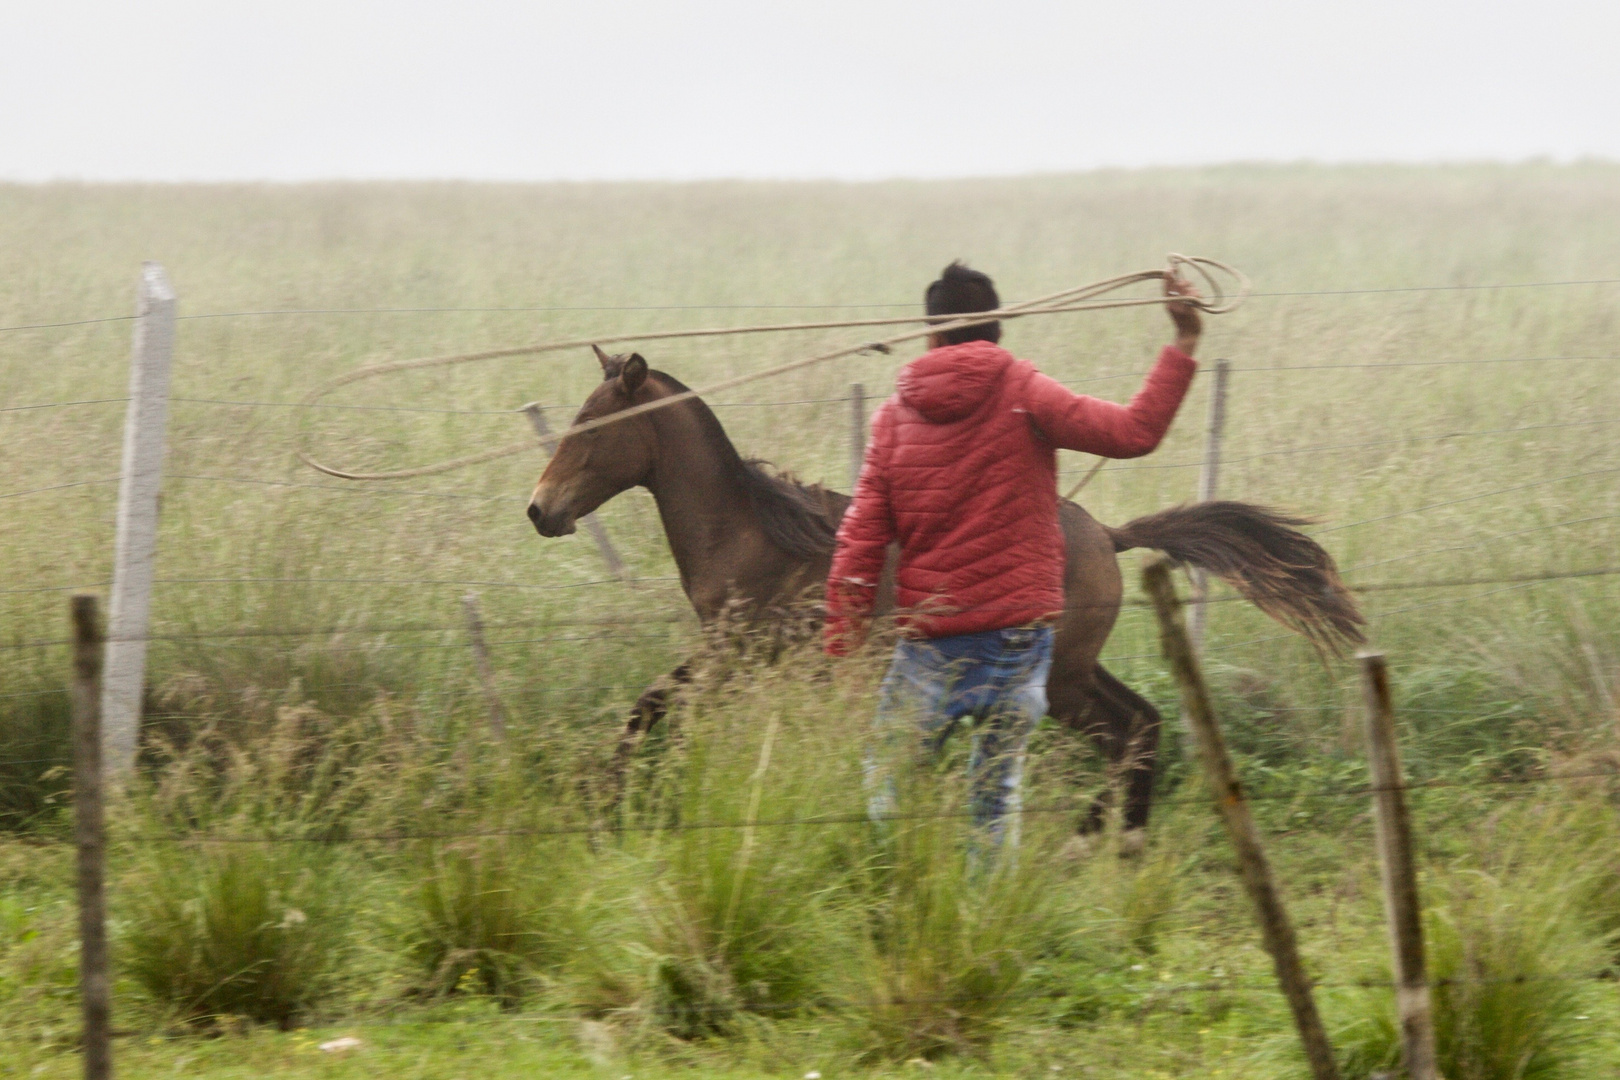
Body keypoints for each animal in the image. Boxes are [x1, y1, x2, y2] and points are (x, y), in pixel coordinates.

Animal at [524, 351, 1360, 835]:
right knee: (1142, 723)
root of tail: (1106, 534)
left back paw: (1100, 834)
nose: (540, 510)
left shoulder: (746, 655)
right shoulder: (733, 656)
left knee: (1128, 731)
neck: (752, 531)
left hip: (1059, 677)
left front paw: (617, 800)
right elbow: (649, 708)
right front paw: (607, 795)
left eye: (592, 429)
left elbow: (660, 712)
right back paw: (1114, 835)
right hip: (1076, 668)